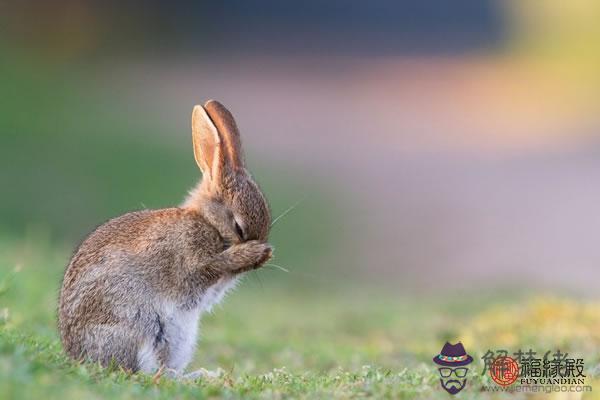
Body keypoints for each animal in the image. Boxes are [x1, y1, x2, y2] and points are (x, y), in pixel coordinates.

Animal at [57, 101, 274, 378]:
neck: (208, 222)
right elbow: (208, 268)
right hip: (140, 327)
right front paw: (253, 253)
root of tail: (77, 355)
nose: (262, 255)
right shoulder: (190, 260)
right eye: (238, 227)